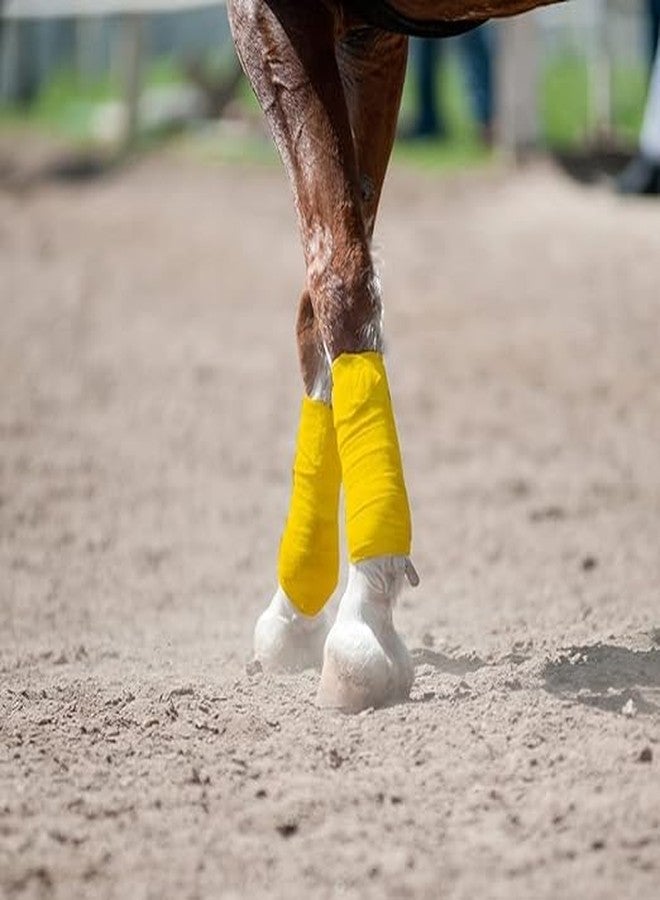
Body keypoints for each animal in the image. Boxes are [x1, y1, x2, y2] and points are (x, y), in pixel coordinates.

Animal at [228, 0, 562, 712]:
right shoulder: (371, 36)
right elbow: (322, 304)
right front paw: (299, 606)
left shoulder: (274, 16)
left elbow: (340, 283)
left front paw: (361, 629)